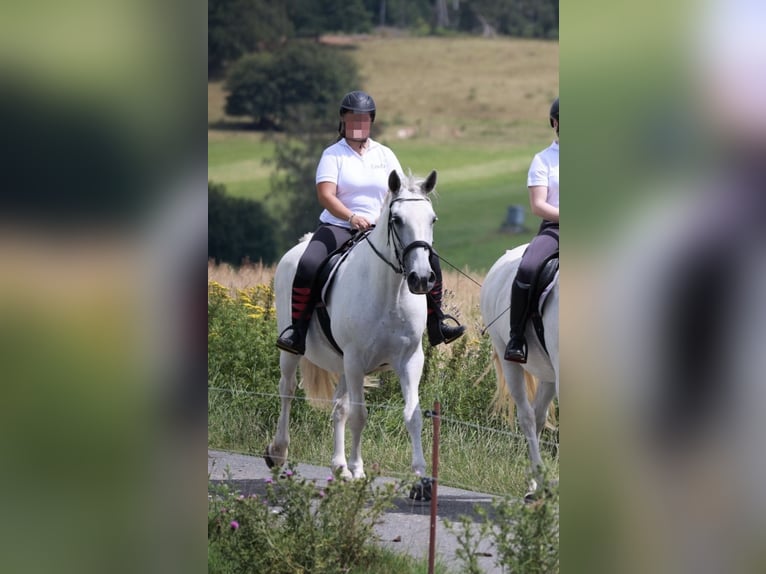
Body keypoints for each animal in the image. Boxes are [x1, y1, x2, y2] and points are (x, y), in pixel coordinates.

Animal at [268, 171, 438, 482]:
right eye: (397, 220)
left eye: (432, 219)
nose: (421, 278)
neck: (390, 293)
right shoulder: (357, 360)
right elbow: (360, 415)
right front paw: (359, 470)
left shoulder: (409, 360)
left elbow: (413, 414)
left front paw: (420, 474)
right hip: (296, 353)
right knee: (287, 389)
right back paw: (279, 452)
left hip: (343, 362)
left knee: (339, 407)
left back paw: (339, 466)